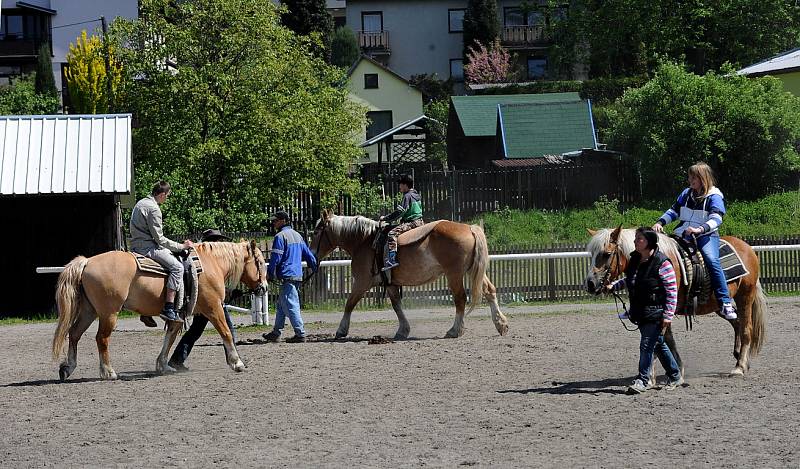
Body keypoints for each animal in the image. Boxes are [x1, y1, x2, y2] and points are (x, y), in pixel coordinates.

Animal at [51, 239, 268, 378]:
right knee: (101, 339)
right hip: (109, 313)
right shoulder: (213, 308)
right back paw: (108, 372)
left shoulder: (177, 316)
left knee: (74, 334)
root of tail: (87, 261)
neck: (209, 265)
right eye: (259, 262)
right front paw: (237, 363)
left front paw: (163, 365)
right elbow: (226, 332)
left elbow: (169, 338)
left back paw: (68, 368)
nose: (264, 288)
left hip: (90, 311)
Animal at [584, 225, 764, 374]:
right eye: (592, 254)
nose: (590, 284)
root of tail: (747, 247)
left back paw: (740, 366)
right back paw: (739, 356)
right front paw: (675, 368)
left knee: (746, 328)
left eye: (607, 254)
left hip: (745, 297)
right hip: (719, 304)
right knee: (737, 323)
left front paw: (652, 374)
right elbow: (665, 340)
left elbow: (657, 339)